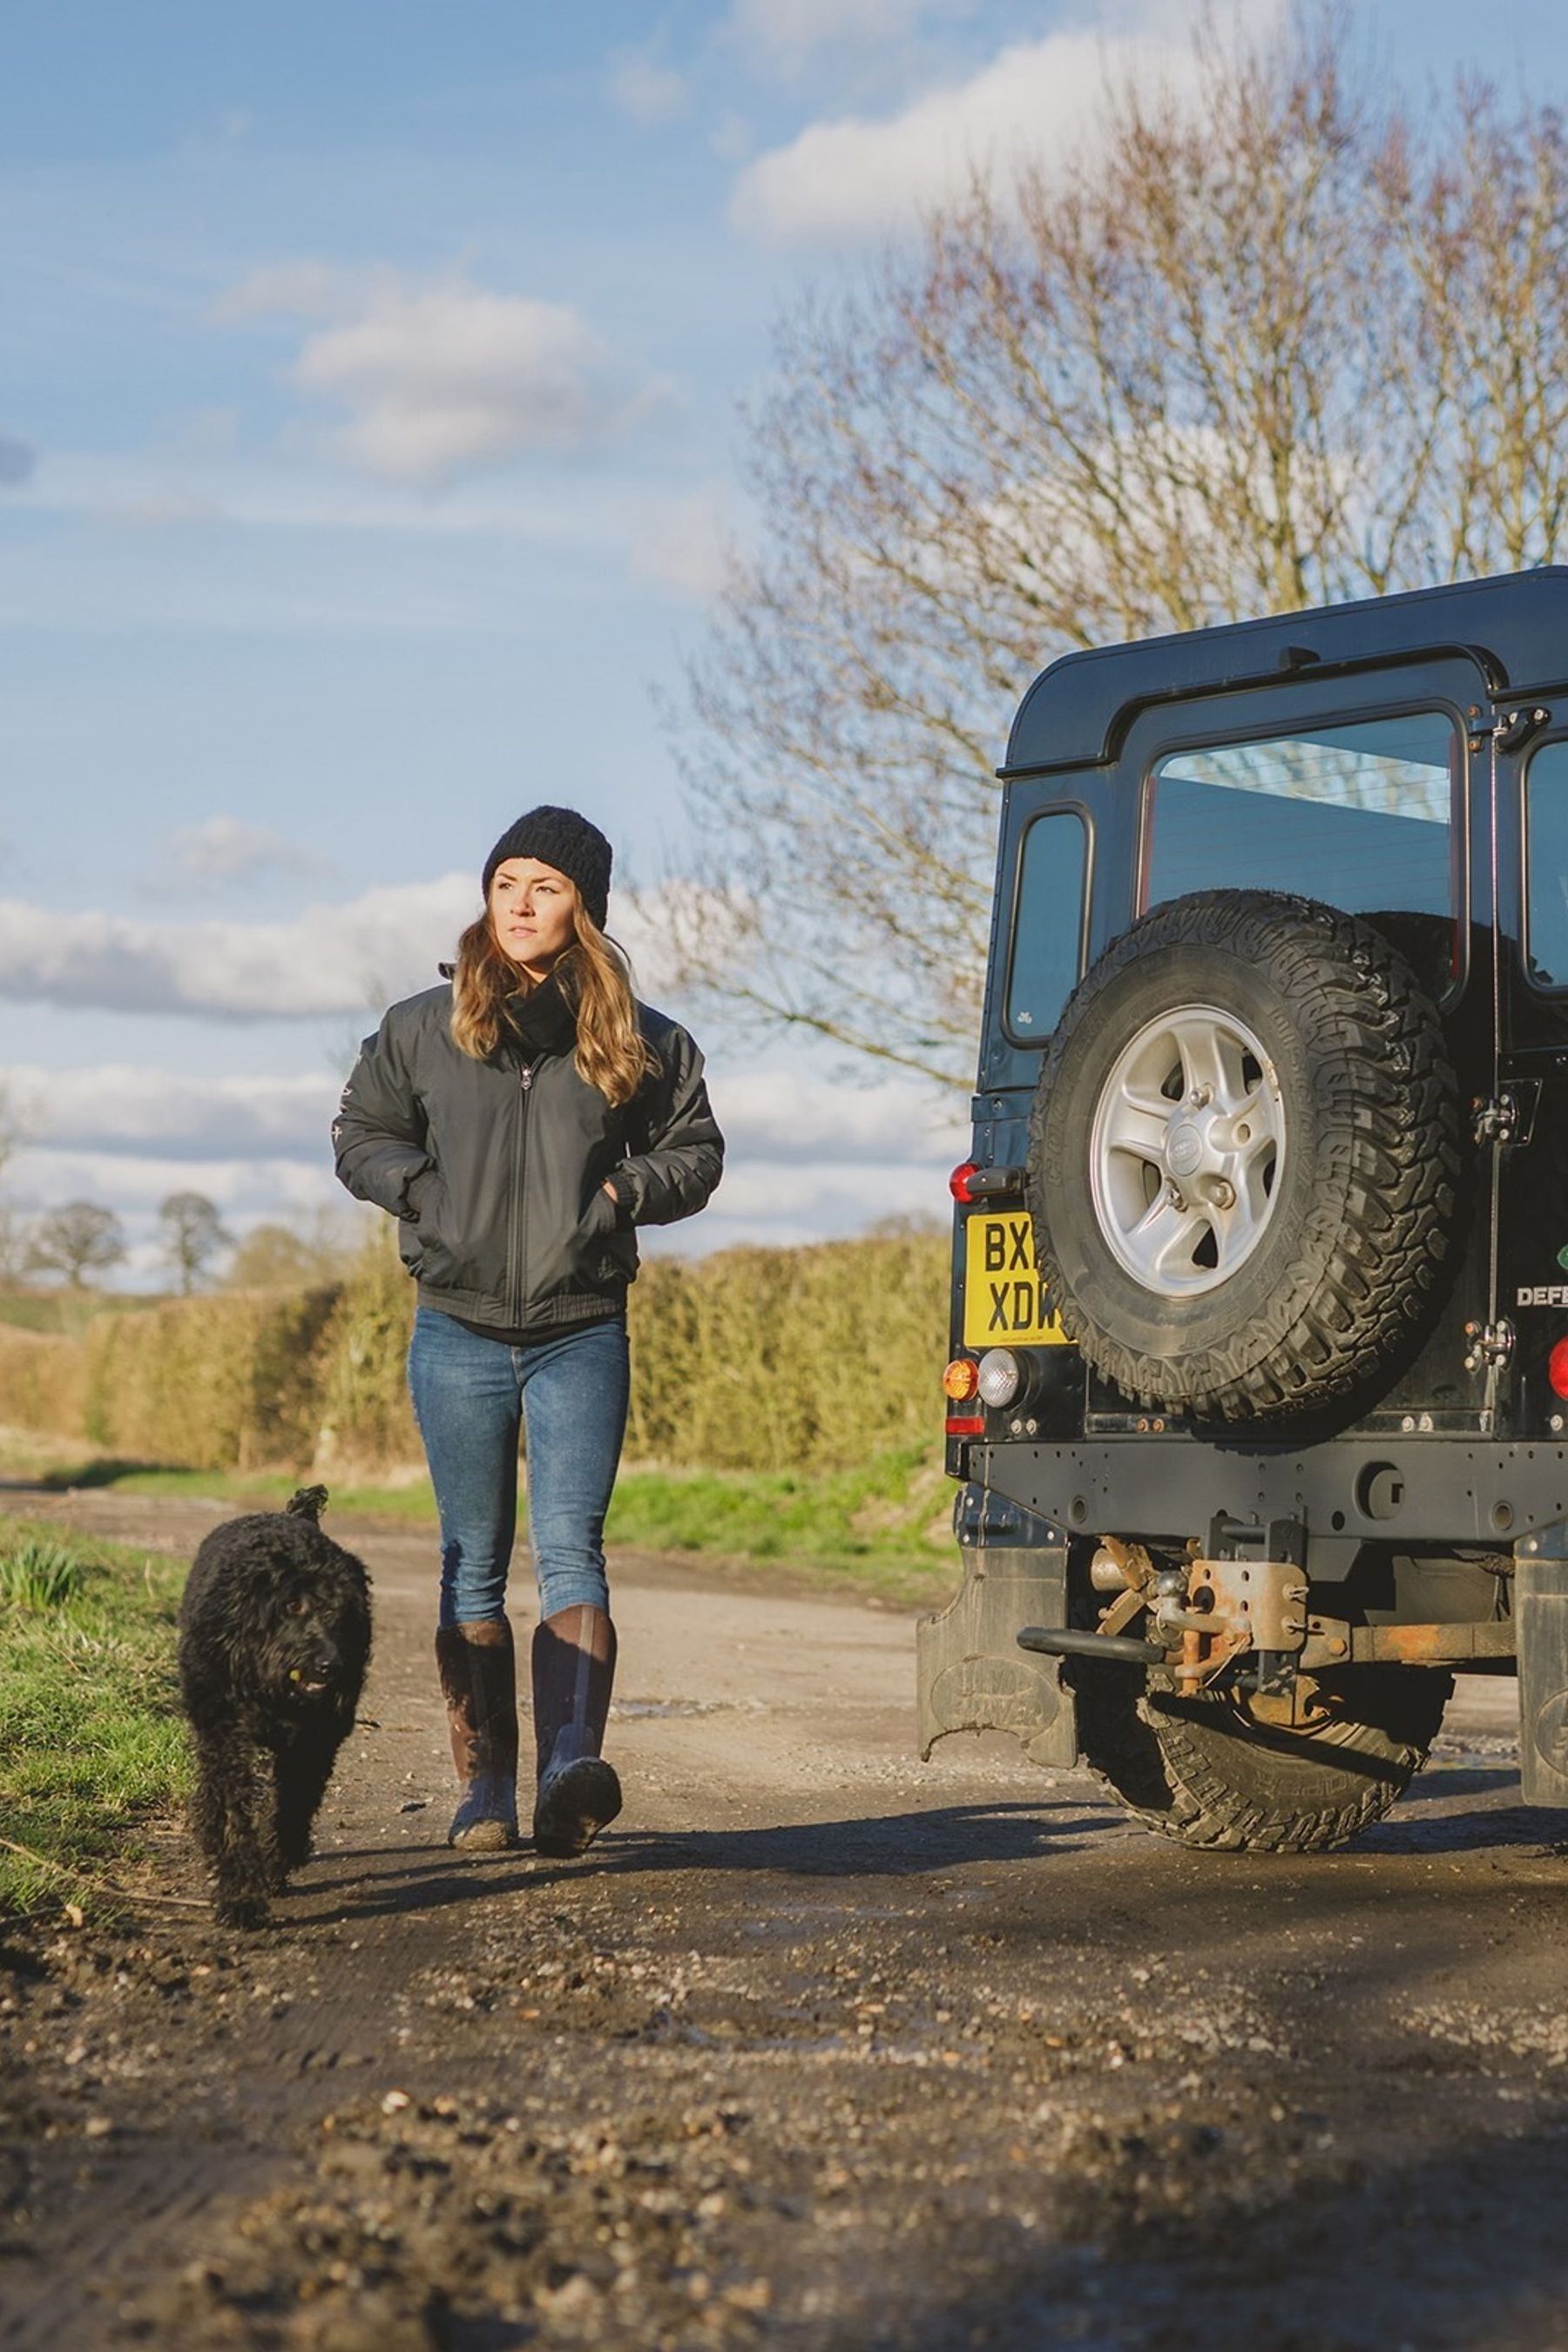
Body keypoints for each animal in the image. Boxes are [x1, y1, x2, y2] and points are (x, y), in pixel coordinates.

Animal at [179, 1486, 374, 1929]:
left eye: (339, 1611)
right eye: (292, 1606)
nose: (331, 1665)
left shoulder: (315, 1743)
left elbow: (293, 1805)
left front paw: (275, 1863)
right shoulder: (224, 1736)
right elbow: (233, 1814)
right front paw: (240, 1898)